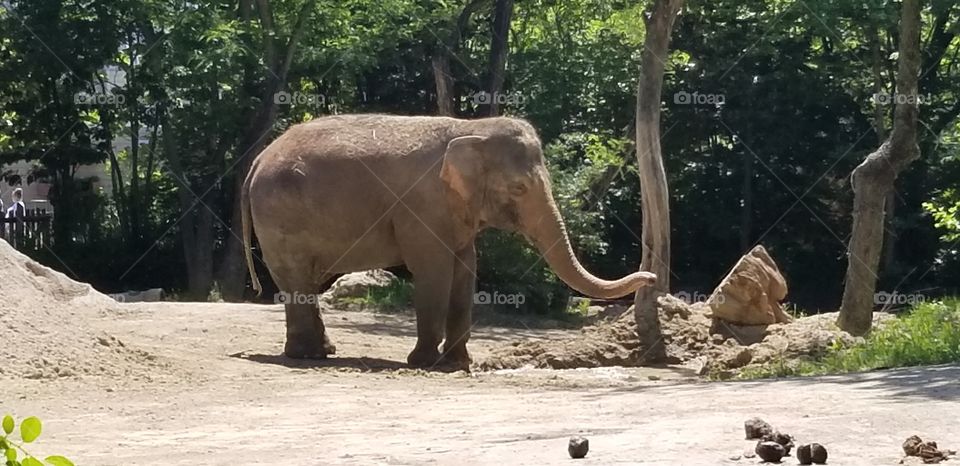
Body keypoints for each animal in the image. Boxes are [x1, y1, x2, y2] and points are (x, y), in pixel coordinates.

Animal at [241, 114, 656, 369]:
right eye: (519, 189)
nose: (651, 278)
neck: (470, 128)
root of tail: (256, 161)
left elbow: (465, 268)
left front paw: (457, 364)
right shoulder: (422, 206)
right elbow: (434, 270)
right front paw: (423, 362)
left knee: (305, 280)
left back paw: (322, 353)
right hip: (278, 217)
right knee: (296, 277)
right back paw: (306, 356)